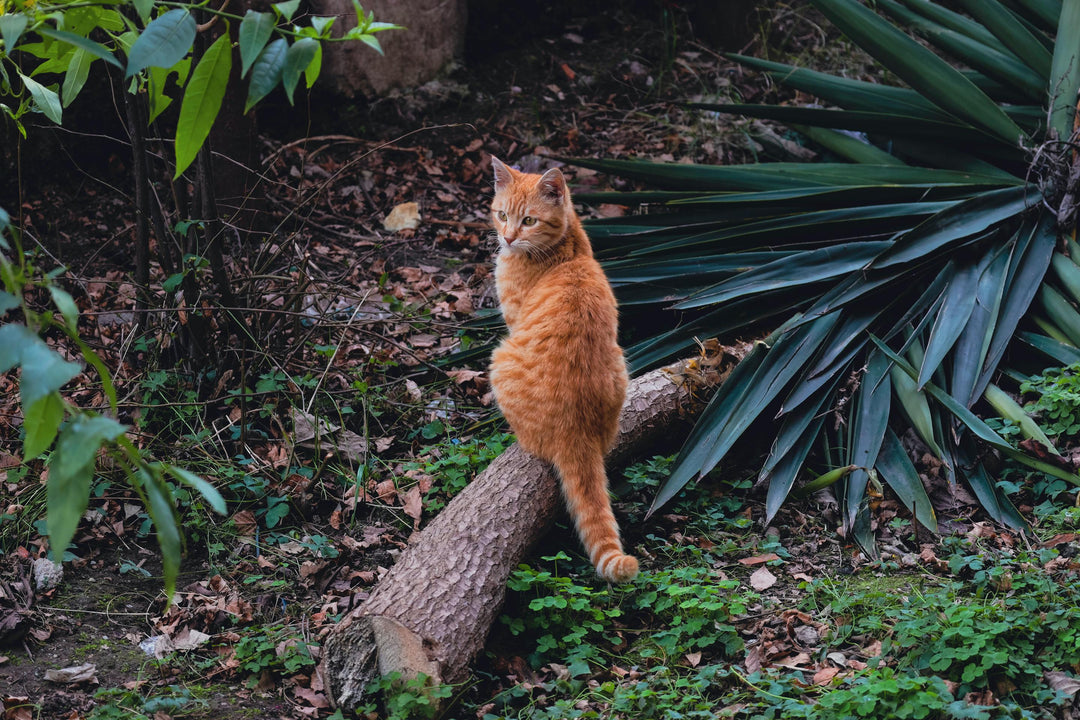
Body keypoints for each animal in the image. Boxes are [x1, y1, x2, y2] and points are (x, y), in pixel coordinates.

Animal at [486, 157, 635, 587]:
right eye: (502, 214)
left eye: (529, 220)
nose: (508, 238)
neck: (567, 250)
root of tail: (576, 430)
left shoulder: (512, 322)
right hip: (621, 364)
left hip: (499, 358)